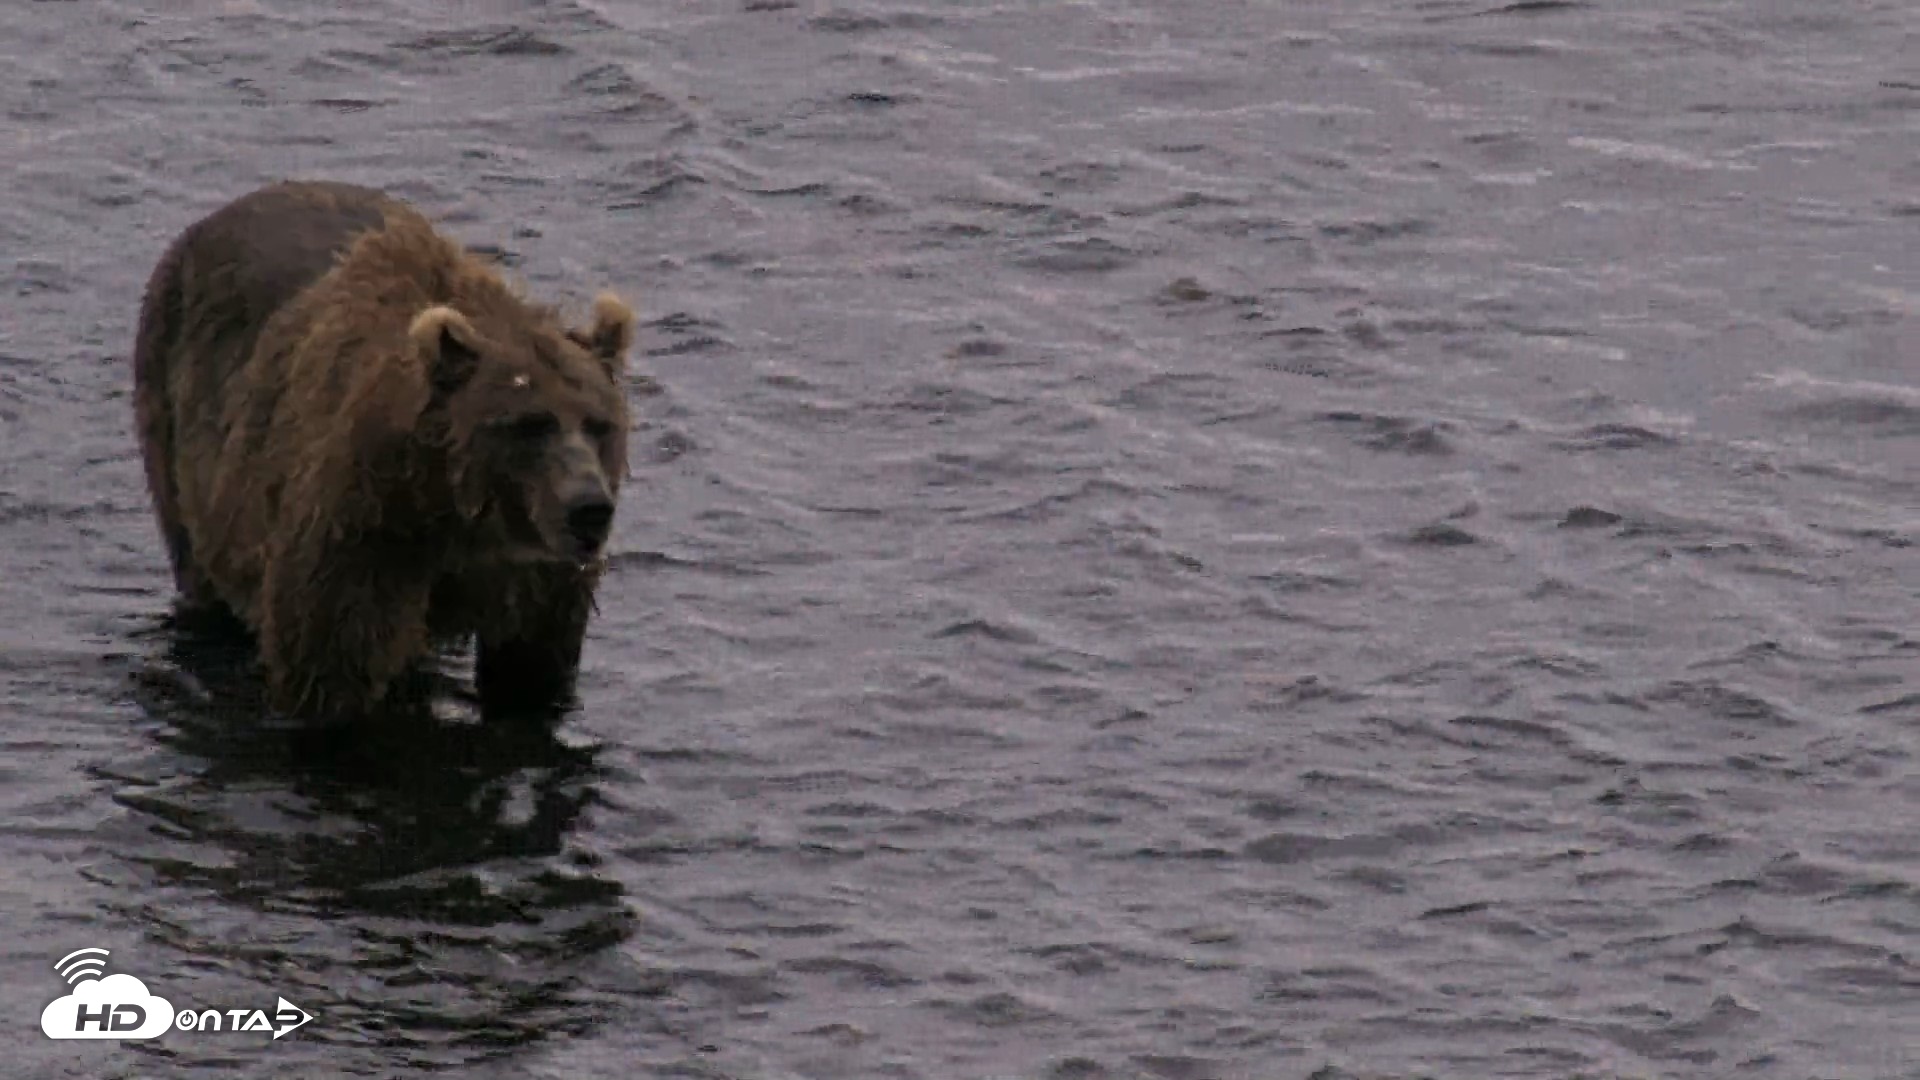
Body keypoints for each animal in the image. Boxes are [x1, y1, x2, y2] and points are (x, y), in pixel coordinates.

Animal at [131, 179, 639, 721]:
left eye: (600, 424)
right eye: (530, 423)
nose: (589, 507)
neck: (450, 506)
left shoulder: (535, 580)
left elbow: (530, 672)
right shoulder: (361, 540)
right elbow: (330, 669)